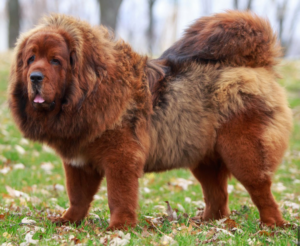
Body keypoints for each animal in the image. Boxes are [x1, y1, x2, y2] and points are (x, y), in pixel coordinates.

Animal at [9, 11, 292, 231]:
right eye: (31, 59)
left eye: (55, 61)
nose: (35, 77)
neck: (88, 94)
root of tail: (257, 65)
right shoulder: (78, 162)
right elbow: (77, 196)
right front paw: (67, 222)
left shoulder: (120, 157)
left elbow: (119, 195)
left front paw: (119, 227)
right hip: (203, 157)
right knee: (218, 197)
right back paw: (207, 223)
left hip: (242, 152)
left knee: (261, 191)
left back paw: (272, 226)